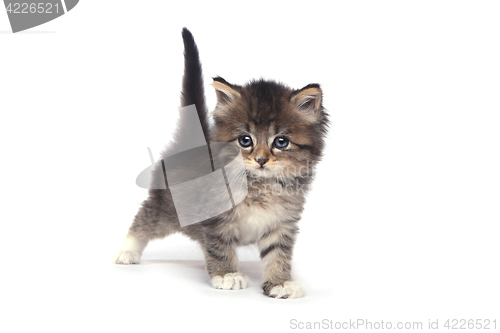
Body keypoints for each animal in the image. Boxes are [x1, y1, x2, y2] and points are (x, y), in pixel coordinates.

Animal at [115, 27, 330, 298]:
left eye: (281, 142)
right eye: (245, 140)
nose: (261, 159)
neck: (259, 186)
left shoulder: (282, 222)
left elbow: (278, 254)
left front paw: (280, 282)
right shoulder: (215, 218)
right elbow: (220, 247)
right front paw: (227, 275)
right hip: (166, 207)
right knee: (143, 219)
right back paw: (127, 251)